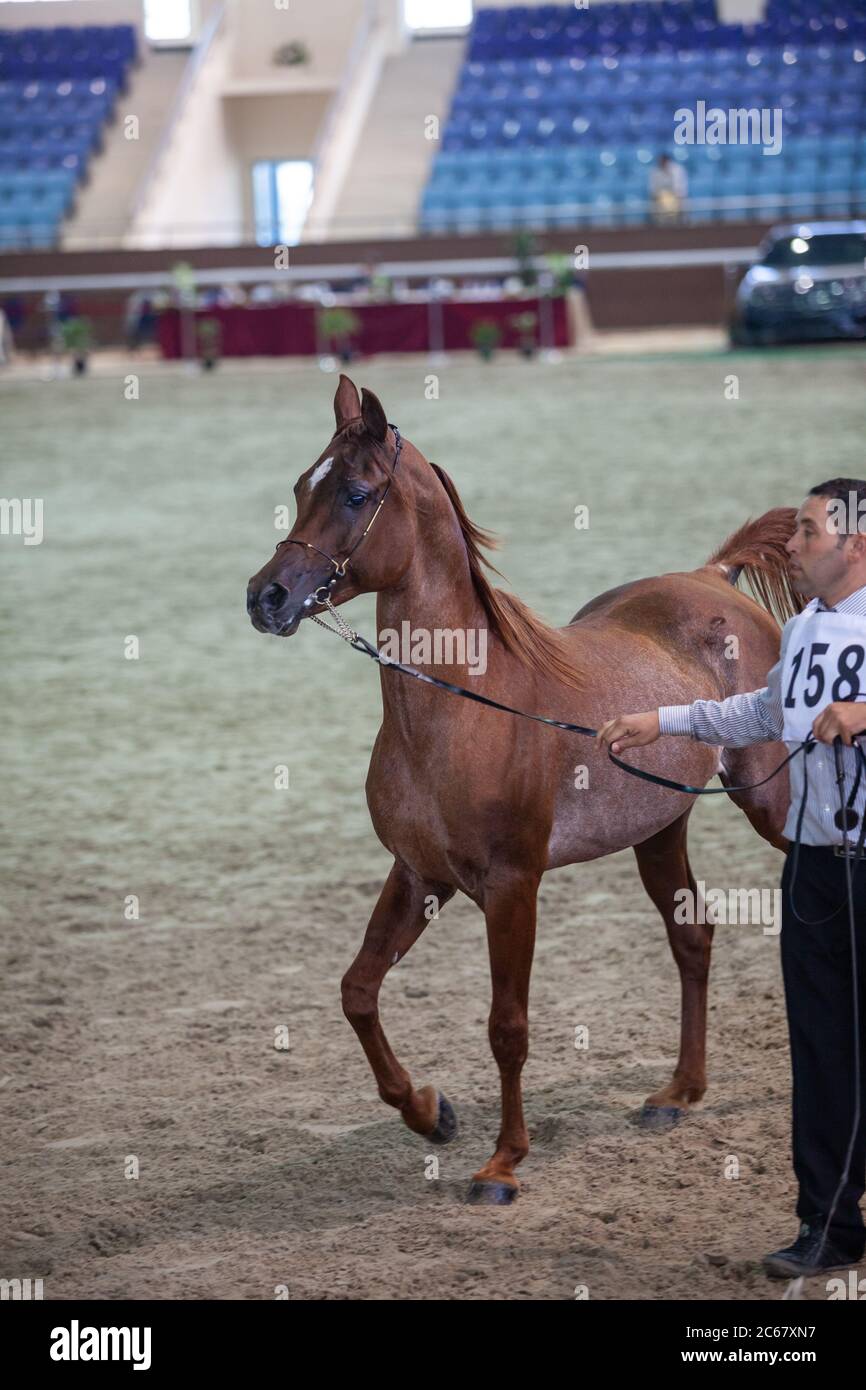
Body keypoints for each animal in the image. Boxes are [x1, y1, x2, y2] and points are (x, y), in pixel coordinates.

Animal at [247, 375, 800, 1200]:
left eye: (353, 493)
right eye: (297, 486)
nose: (266, 596)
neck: (462, 706)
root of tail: (714, 579)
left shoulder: (512, 888)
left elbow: (507, 1027)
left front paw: (502, 1163)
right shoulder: (420, 875)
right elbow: (358, 990)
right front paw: (430, 1113)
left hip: (770, 801)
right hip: (659, 830)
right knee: (692, 937)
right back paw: (677, 1094)